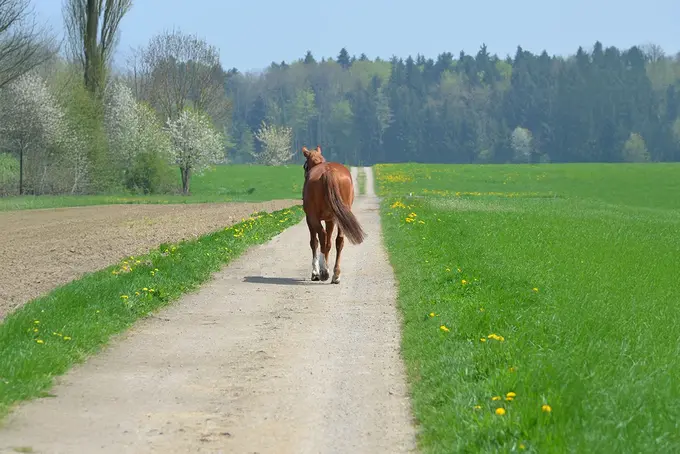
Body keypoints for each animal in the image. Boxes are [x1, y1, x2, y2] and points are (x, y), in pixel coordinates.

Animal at [301, 146, 365, 284]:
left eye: (305, 166)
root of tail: (328, 172)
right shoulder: (330, 219)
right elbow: (329, 244)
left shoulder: (310, 219)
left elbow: (315, 242)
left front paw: (316, 272)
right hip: (340, 217)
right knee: (339, 240)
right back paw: (336, 274)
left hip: (314, 218)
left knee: (322, 236)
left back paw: (323, 272)